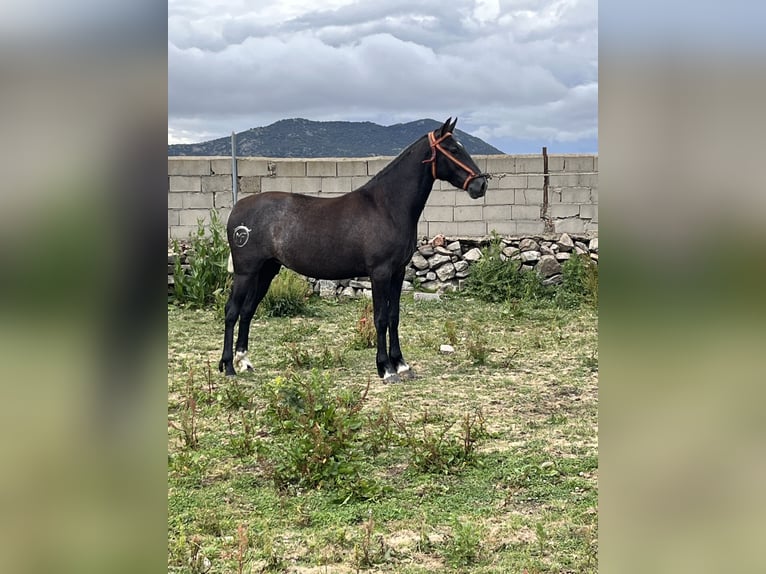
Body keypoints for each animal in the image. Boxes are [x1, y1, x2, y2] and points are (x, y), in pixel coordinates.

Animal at [219, 117, 488, 382]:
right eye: (453, 149)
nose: (481, 185)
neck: (386, 206)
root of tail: (237, 210)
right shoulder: (380, 273)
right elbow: (380, 318)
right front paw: (386, 369)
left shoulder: (398, 272)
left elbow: (394, 316)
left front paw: (402, 365)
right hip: (245, 272)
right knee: (232, 311)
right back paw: (228, 367)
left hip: (266, 270)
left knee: (247, 310)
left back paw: (244, 362)